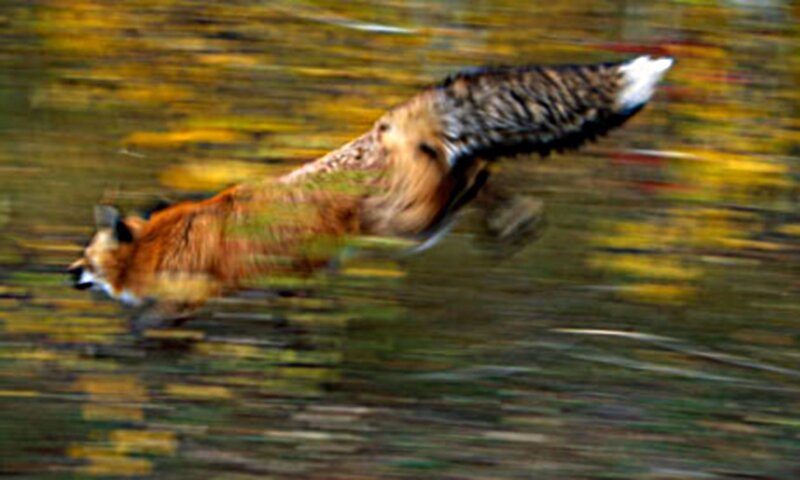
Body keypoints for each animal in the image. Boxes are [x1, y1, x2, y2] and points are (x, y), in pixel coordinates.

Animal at [69, 55, 673, 315]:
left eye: (86, 256)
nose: (65, 272)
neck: (162, 241)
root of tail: (387, 125)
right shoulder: (284, 284)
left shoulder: (195, 295)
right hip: (417, 215)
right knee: (479, 166)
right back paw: (512, 219)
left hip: (407, 227)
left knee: (474, 180)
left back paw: (510, 218)